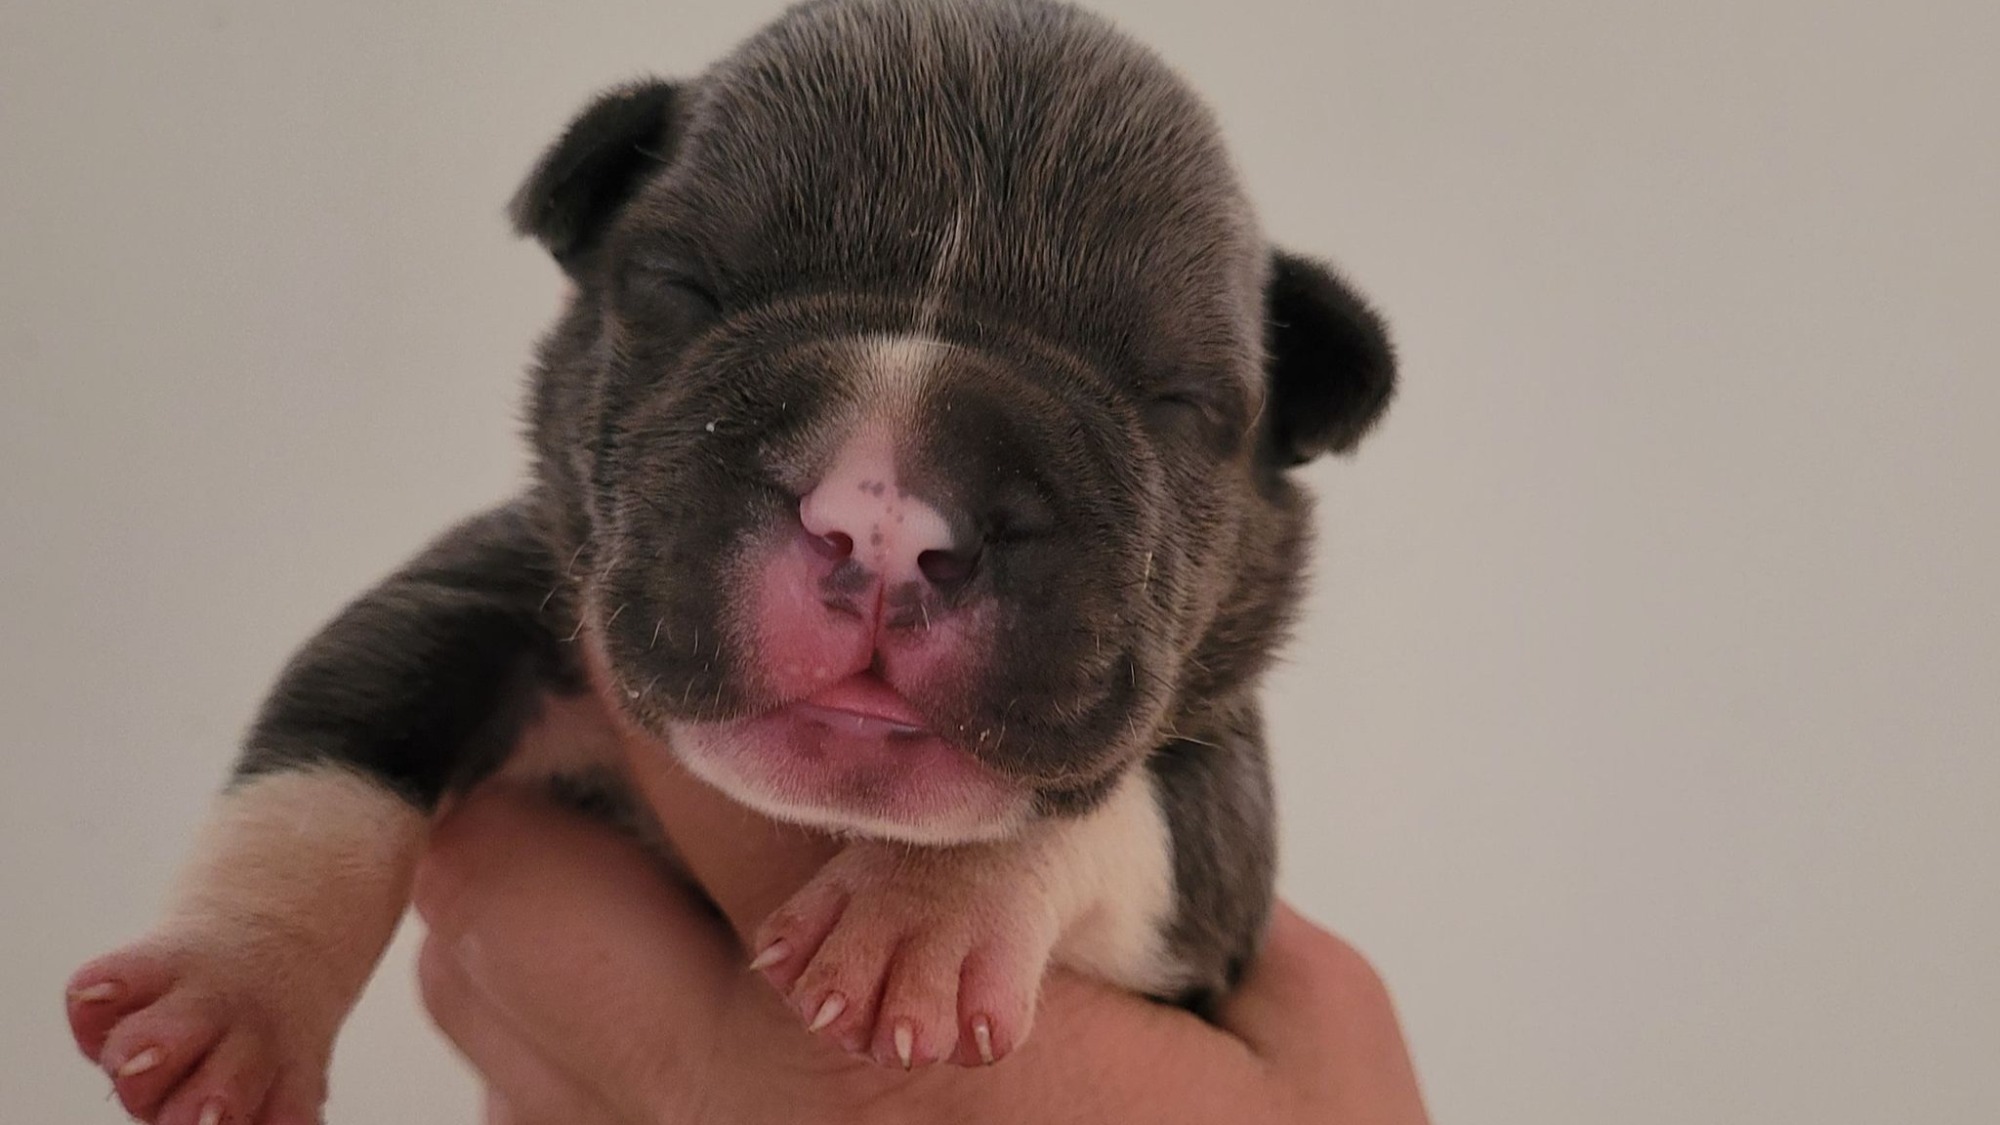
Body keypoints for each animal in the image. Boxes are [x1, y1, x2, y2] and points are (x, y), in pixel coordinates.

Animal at [70, 0, 1400, 1112]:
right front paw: (232, 996)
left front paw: (925, 914)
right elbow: (335, 759)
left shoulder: (1224, 824)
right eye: (683, 288)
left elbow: (1124, 808)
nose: (884, 517)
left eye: (1173, 402)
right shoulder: (488, 592)